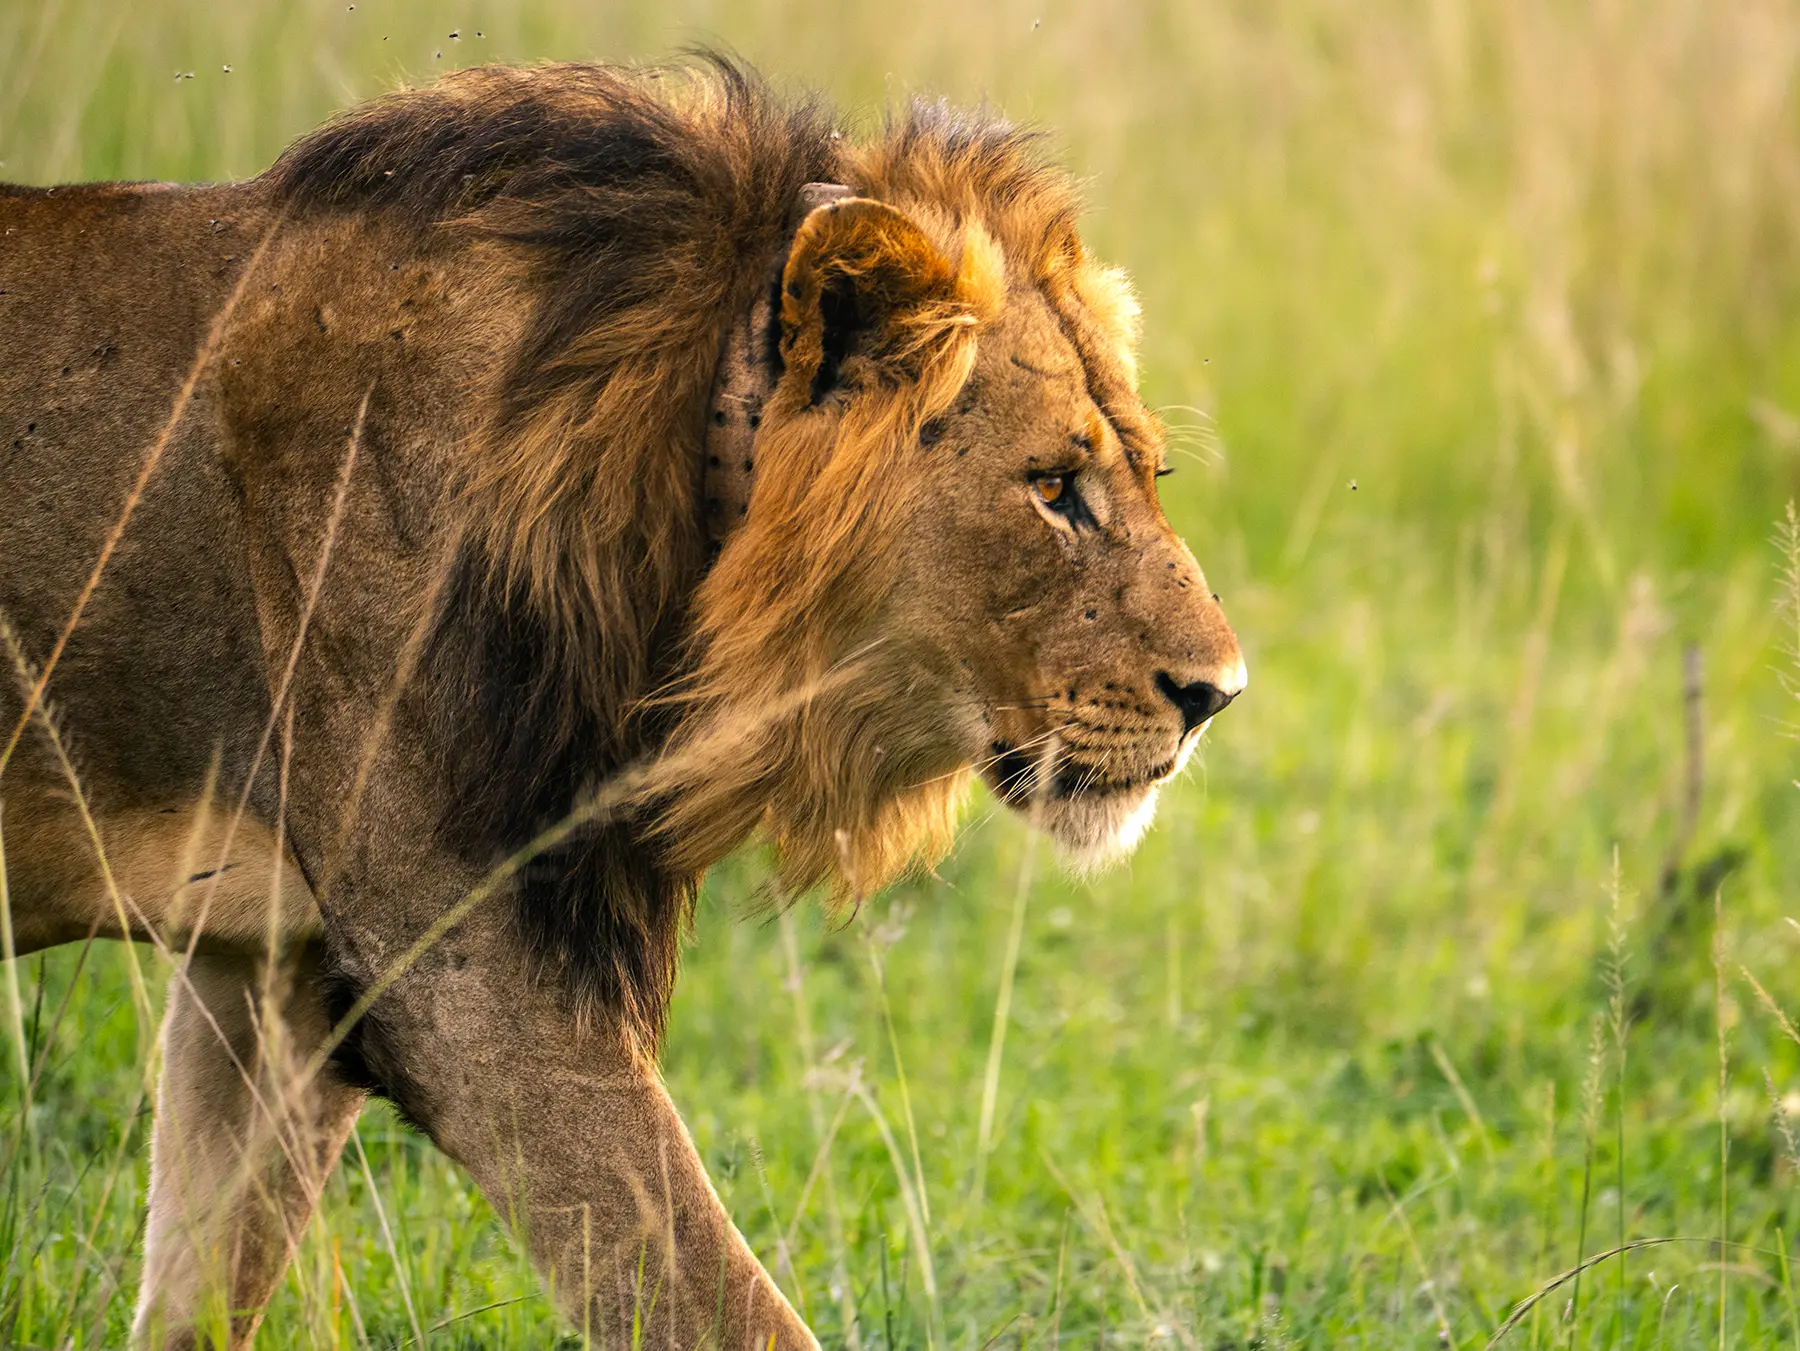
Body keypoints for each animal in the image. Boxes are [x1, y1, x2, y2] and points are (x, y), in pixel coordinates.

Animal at [0, 59, 1244, 1347]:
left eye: (1146, 473)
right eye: (1053, 486)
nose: (1217, 694)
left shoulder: (271, 972)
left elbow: (198, 1290)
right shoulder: (461, 965)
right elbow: (720, 1306)